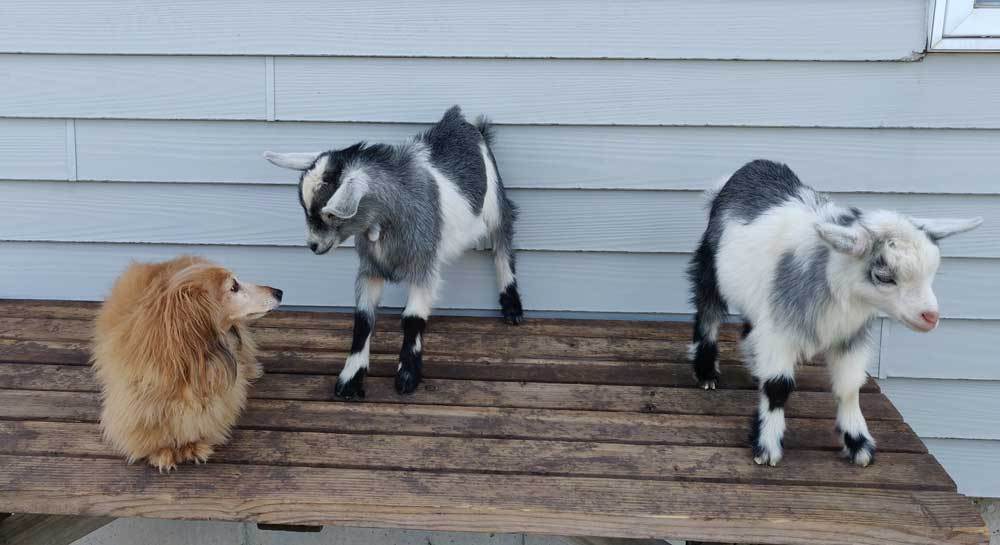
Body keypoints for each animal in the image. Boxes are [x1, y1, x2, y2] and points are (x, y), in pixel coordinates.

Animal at [264, 106, 523, 398]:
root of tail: (461, 120)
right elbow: (363, 319)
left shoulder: (422, 265)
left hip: (495, 202)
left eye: (330, 214)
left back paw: (511, 305)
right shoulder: (370, 268)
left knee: (503, 244)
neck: (387, 221)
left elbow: (412, 318)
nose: (314, 246)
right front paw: (351, 378)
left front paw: (407, 375)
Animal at [688, 159, 982, 466]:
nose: (930, 317)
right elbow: (778, 387)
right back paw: (706, 373)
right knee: (708, 313)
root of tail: (751, 167)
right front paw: (766, 448)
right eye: (884, 276)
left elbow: (849, 388)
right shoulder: (781, 331)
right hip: (710, 266)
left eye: (933, 271)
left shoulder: (849, 336)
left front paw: (858, 444)